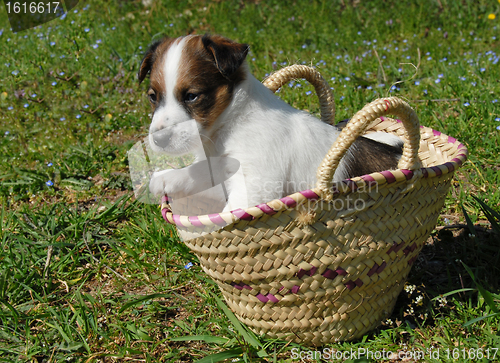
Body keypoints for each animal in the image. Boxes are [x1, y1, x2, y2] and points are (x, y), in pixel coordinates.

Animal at [139, 34, 404, 213]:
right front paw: (166, 178)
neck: (228, 125)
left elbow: (229, 213)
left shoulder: (255, 184)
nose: (159, 140)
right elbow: (199, 171)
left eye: (192, 96)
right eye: (152, 96)